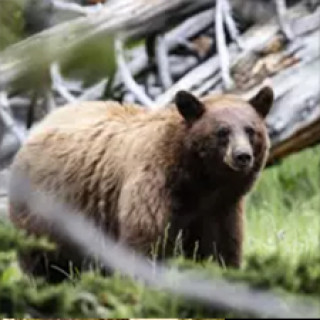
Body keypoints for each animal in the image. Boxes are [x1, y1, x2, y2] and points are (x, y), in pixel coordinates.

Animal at [8, 86, 272, 282]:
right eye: (222, 131)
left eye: (251, 130)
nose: (242, 156)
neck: (198, 183)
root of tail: (36, 128)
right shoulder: (153, 184)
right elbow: (146, 241)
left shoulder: (220, 209)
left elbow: (220, 248)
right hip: (46, 209)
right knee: (43, 259)